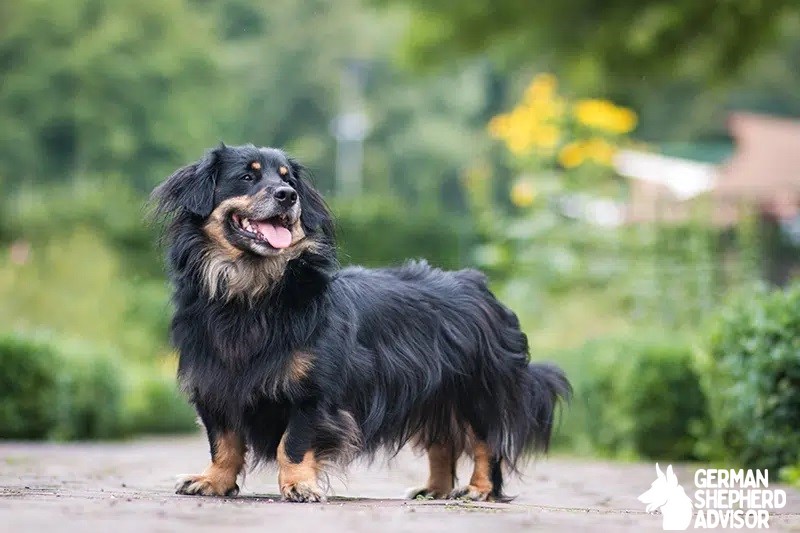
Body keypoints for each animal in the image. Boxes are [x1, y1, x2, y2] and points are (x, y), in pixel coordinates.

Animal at [153, 143, 572, 500]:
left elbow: (294, 443)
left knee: (487, 441)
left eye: (289, 180)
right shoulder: (214, 384)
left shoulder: (313, 393)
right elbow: (223, 442)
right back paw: (433, 491)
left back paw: (479, 489)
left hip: (476, 390)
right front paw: (213, 481)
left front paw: (299, 486)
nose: (287, 196)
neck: (254, 291)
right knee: (443, 443)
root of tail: (479, 286)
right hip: (435, 394)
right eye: (247, 176)